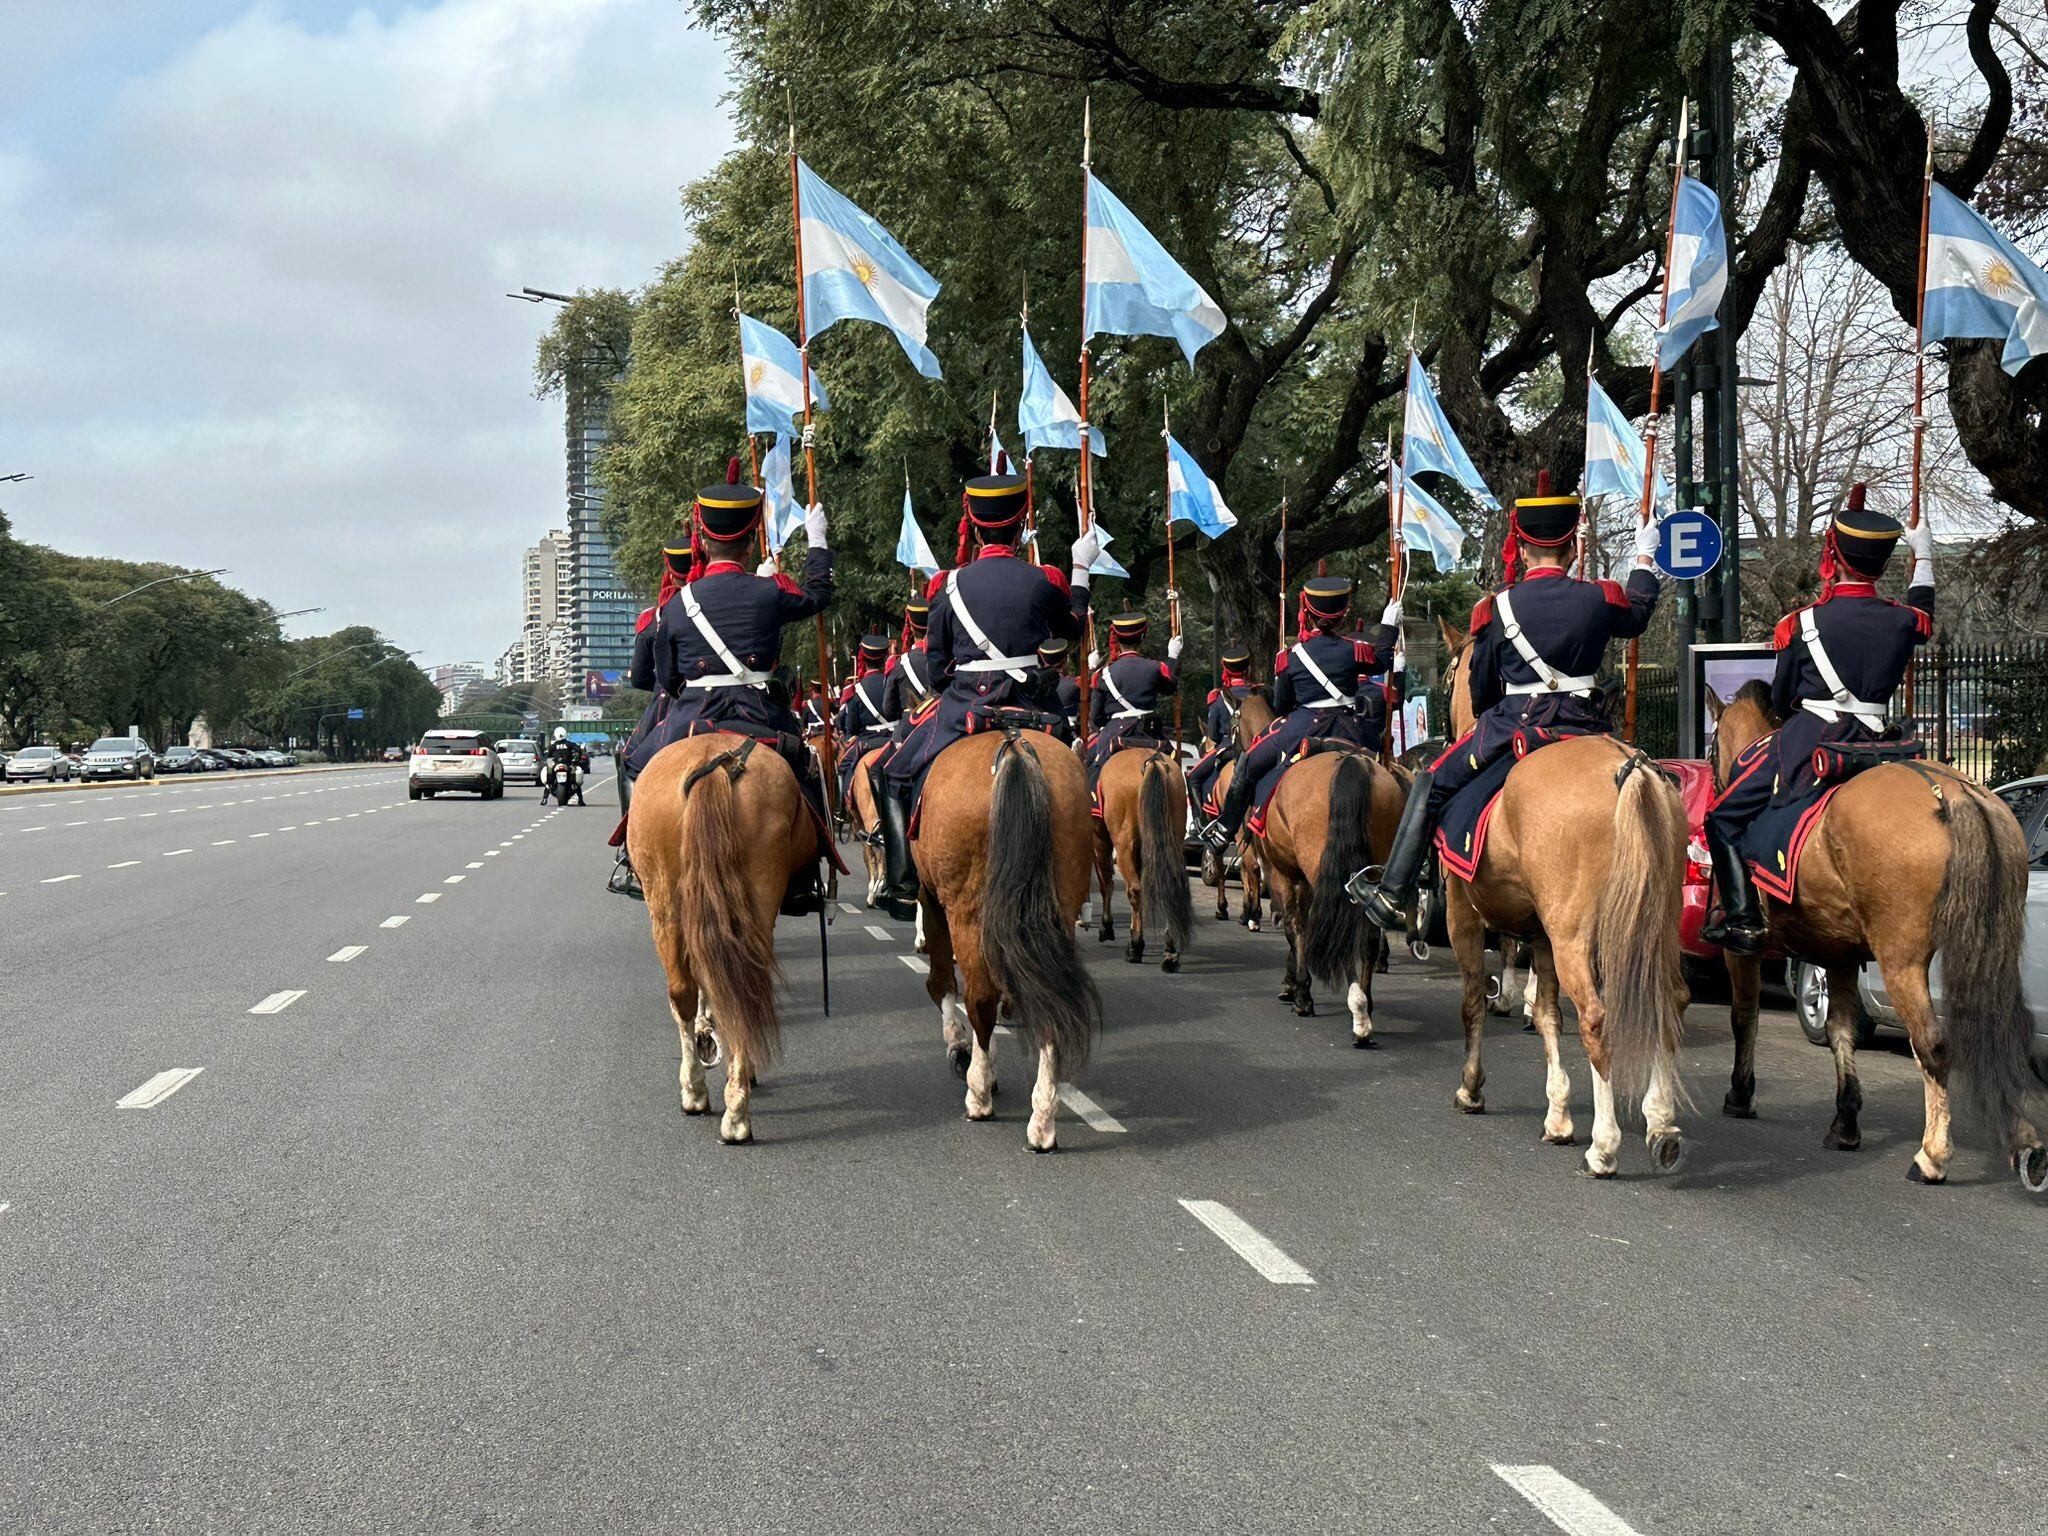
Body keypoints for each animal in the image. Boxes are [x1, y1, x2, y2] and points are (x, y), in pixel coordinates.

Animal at [917, 733, 1105, 1155]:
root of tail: (1015, 748)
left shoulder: (932, 899)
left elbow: (942, 983)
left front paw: (959, 1048)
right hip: (1058, 910)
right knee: (1053, 1004)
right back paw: (1043, 1120)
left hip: (967, 911)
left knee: (979, 1000)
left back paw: (979, 1094)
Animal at [1089, 749, 1196, 974]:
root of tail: (1152, 761)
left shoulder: (1099, 838)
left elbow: (1106, 882)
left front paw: (1107, 927)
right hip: (1171, 841)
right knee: (1168, 885)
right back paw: (1170, 952)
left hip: (1124, 845)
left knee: (1135, 891)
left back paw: (1135, 947)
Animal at [1433, 630, 1687, 1187]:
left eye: (1448, 676)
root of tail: (1632, 769)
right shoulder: (1542, 937)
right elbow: (1548, 1016)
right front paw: (1558, 1115)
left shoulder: (1463, 915)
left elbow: (1473, 1000)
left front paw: (1471, 1086)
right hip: (1656, 930)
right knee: (1669, 1002)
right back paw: (1660, 1124)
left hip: (1576, 938)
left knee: (1596, 1018)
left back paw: (1605, 1148)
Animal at [1712, 684, 2031, 1187]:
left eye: (1710, 749)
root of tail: (1955, 792)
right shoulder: (1838, 955)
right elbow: (1842, 1031)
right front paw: (1845, 1123)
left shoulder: (1742, 951)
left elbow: (1745, 1017)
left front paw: (1740, 1095)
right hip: (1994, 954)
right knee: (2007, 1033)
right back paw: (2025, 1145)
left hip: (1902, 963)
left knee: (1933, 1045)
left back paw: (1932, 1156)